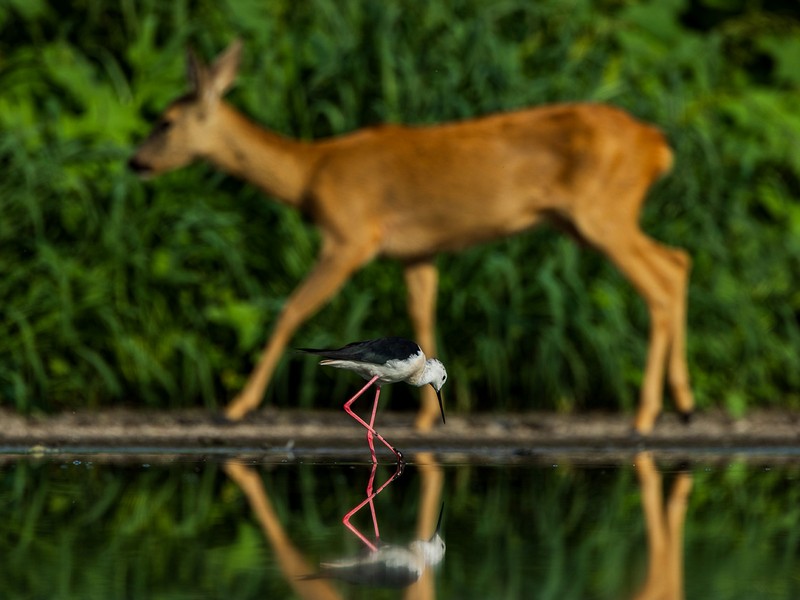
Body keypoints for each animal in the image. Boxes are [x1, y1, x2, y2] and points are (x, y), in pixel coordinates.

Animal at [128, 39, 692, 434]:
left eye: (166, 120)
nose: (135, 162)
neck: (312, 172)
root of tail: (659, 145)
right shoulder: (416, 254)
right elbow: (423, 316)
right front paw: (424, 415)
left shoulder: (349, 238)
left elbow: (291, 309)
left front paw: (236, 407)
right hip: (586, 221)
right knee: (678, 261)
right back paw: (680, 406)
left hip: (603, 215)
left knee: (663, 278)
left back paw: (648, 415)